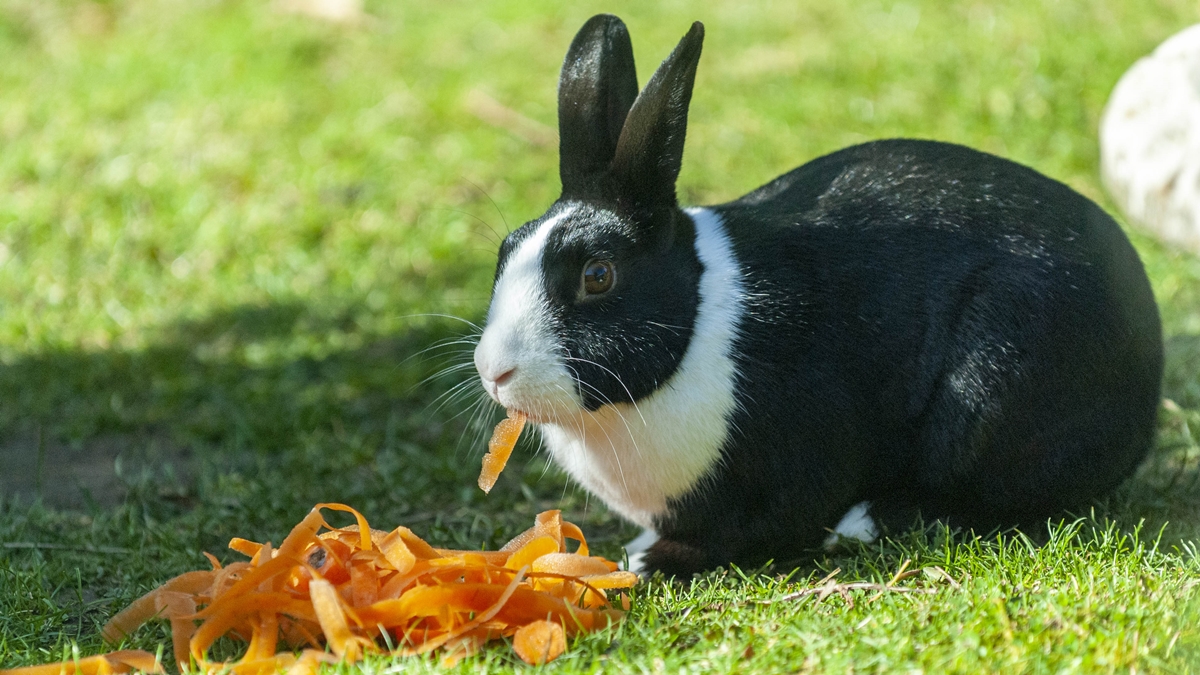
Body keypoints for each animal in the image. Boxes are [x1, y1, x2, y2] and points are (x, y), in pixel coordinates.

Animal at [472, 14, 1163, 577]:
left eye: (598, 276)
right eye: (507, 248)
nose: (494, 371)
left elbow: (748, 531)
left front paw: (649, 562)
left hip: (991, 393)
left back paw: (862, 525)